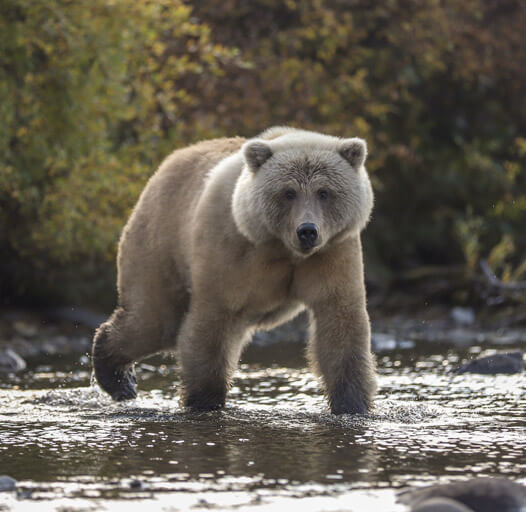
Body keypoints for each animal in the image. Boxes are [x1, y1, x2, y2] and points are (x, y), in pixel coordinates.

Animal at [92, 127, 380, 416]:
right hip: (160, 241)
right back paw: (117, 377)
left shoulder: (332, 254)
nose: (307, 231)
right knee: (154, 320)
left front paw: (351, 404)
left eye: (324, 192)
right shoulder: (232, 252)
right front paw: (204, 400)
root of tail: (167, 162)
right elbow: (212, 322)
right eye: (288, 192)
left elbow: (340, 321)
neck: (283, 249)